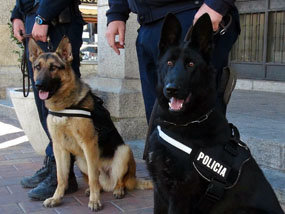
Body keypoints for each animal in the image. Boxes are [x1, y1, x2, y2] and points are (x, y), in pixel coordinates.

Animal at [28, 36, 152, 211]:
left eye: (53, 68)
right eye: (37, 67)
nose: (38, 85)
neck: (65, 106)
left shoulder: (88, 144)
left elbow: (93, 177)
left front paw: (95, 201)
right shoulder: (59, 147)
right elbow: (61, 177)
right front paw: (56, 198)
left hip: (123, 151)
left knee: (117, 180)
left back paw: (118, 190)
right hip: (80, 160)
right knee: (99, 182)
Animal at [145, 13, 282, 214]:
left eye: (191, 64)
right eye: (169, 63)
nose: (171, 89)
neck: (183, 123)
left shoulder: (179, 197)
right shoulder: (159, 191)